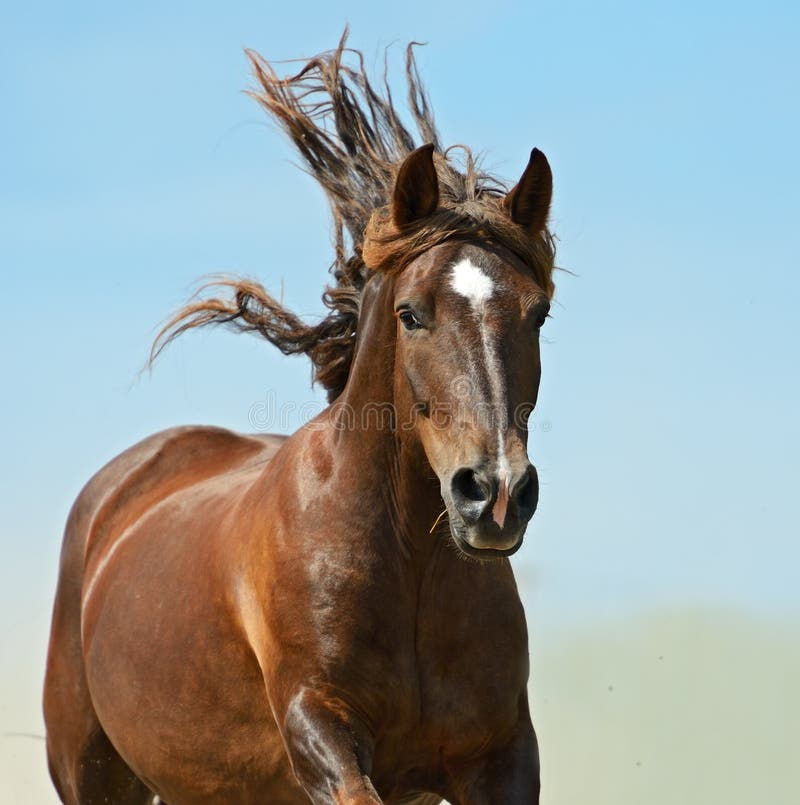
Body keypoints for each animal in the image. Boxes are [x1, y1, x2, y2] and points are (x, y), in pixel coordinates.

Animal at [43, 34, 556, 800]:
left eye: (539, 313)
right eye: (411, 313)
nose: (493, 495)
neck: (410, 567)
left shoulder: (502, 755)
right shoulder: (319, 731)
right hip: (92, 771)